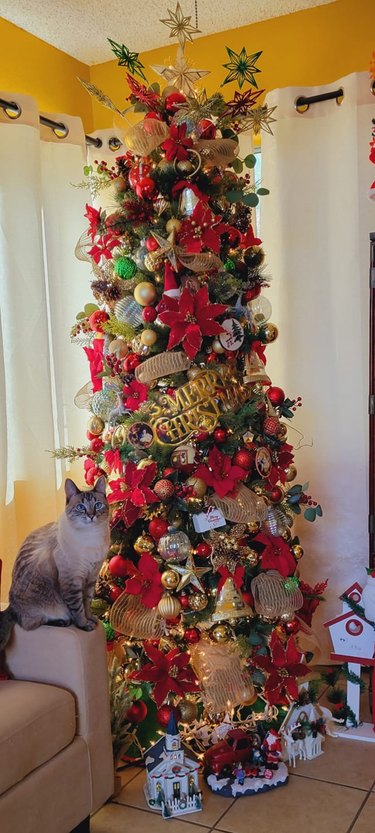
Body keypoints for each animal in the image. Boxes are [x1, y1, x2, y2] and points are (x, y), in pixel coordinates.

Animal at [0, 474, 109, 648]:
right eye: (80, 507)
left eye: (98, 505)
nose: (91, 515)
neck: (92, 537)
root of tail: (11, 607)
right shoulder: (72, 581)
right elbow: (78, 608)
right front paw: (85, 625)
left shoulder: (91, 576)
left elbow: (87, 603)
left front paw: (91, 618)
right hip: (48, 607)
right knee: (31, 624)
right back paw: (63, 621)